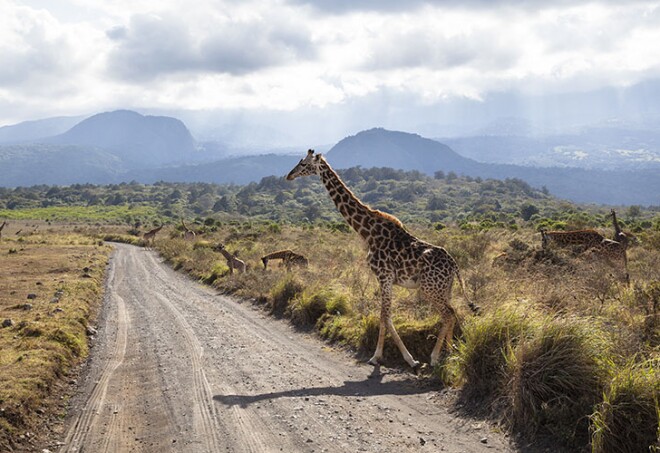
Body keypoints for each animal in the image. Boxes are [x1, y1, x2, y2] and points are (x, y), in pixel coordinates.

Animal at [286, 150, 477, 370]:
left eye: (304, 164)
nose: (289, 175)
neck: (369, 233)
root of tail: (454, 265)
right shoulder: (387, 279)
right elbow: (386, 316)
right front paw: (390, 357)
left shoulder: (384, 276)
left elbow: (384, 316)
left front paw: (395, 358)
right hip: (445, 288)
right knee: (453, 313)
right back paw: (450, 353)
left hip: (430, 288)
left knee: (447, 314)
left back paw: (435, 358)